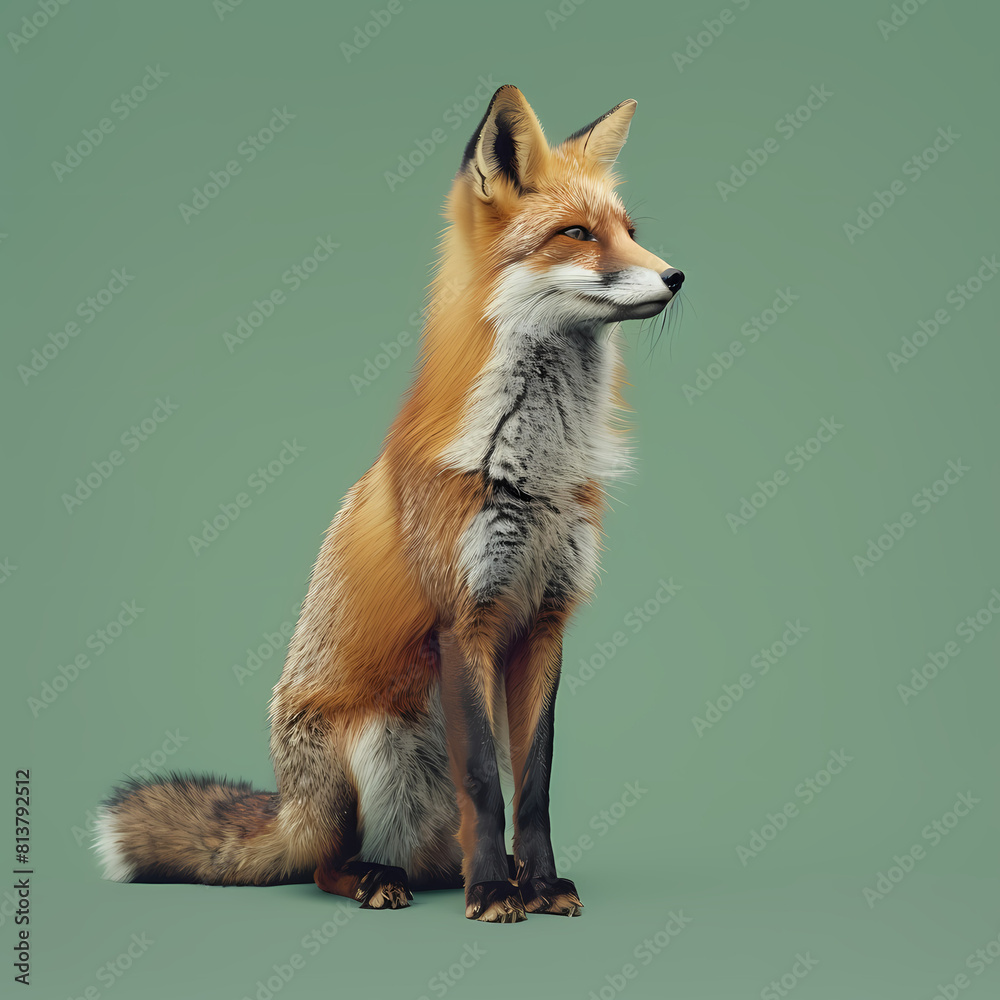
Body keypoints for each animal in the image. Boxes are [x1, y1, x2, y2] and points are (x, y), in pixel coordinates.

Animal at [94, 85, 684, 923]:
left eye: (632, 233)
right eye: (577, 234)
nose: (676, 276)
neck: (538, 469)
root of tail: (290, 808)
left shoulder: (546, 622)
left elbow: (532, 785)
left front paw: (537, 886)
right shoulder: (463, 620)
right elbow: (486, 783)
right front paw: (494, 896)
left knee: (433, 849)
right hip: (372, 744)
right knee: (326, 867)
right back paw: (391, 879)